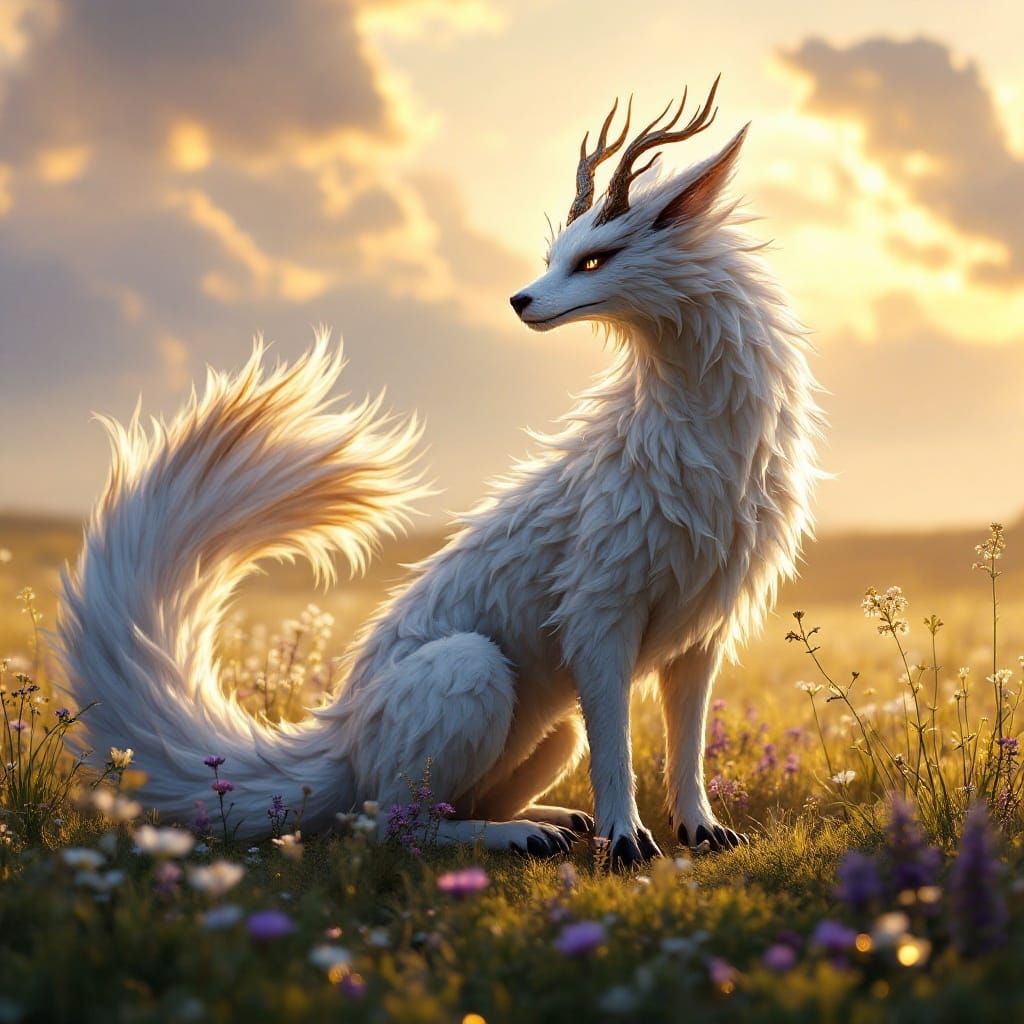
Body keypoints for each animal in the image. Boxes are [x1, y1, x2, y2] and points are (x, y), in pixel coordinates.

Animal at [59, 79, 822, 868]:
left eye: (595, 259)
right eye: (555, 255)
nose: (519, 301)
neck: (698, 445)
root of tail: (341, 742)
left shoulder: (704, 627)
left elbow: (687, 744)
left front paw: (700, 831)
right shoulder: (597, 612)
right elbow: (618, 746)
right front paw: (625, 842)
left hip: (551, 732)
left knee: (444, 805)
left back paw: (554, 820)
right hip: (471, 670)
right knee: (392, 822)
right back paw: (528, 835)